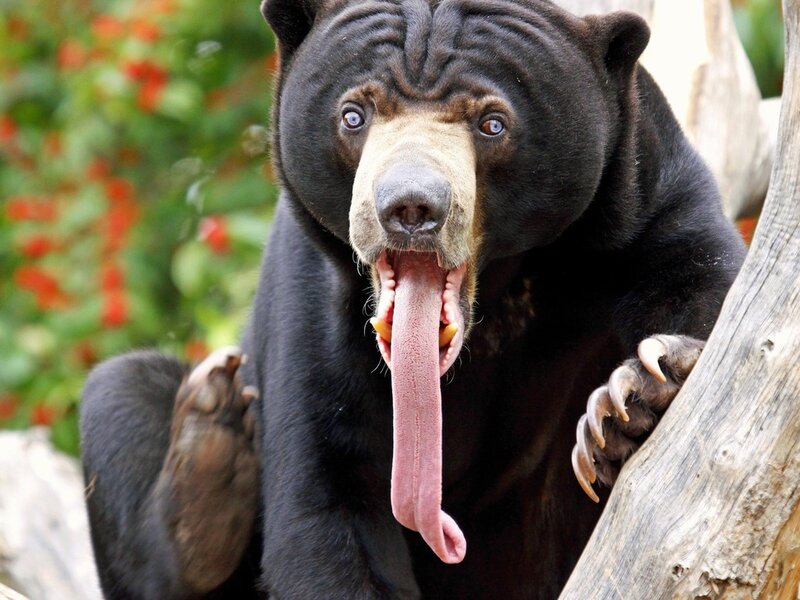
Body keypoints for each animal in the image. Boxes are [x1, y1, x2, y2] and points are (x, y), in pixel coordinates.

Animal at [79, 0, 747, 598]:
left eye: (492, 123)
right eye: (354, 115)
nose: (409, 208)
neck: (498, 294)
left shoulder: (645, 197)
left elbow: (703, 287)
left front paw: (634, 397)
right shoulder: (313, 296)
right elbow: (325, 496)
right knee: (121, 391)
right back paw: (208, 456)